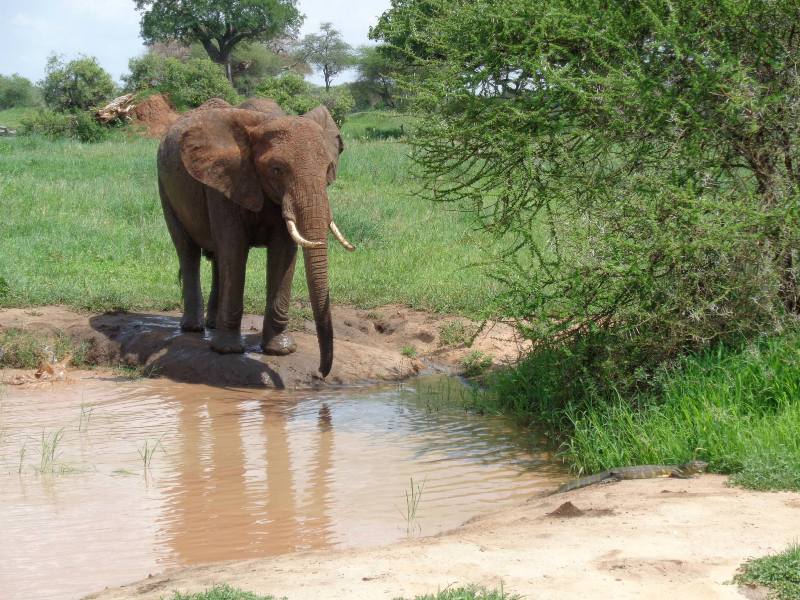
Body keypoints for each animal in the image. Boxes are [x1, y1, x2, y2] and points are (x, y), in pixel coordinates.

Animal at [156, 100, 354, 378]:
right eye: (277, 169)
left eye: (328, 169)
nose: (320, 373)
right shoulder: (224, 179)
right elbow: (234, 248)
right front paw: (227, 351)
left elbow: (283, 252)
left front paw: (280, 350)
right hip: (164, 186)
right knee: (188, 250)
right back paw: (194, 328)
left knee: (218, 259)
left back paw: (212, 324)